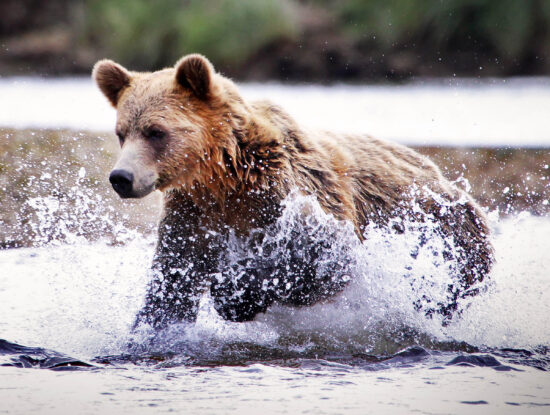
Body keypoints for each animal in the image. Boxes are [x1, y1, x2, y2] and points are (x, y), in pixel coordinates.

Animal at [92, 54, 494, 328]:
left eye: (156, 132)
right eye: (122, 132)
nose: (122, 177)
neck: (223, 177)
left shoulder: (285, 195)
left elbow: (326, 257)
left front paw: (233, 292)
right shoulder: (193, 217)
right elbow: (172, 283)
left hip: (444, 240)